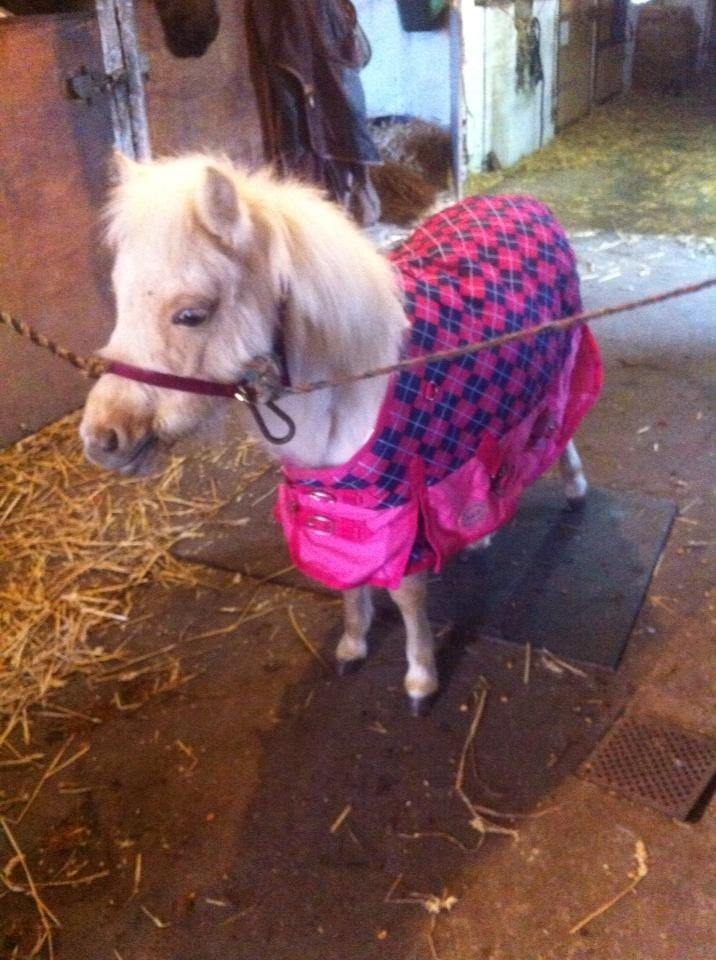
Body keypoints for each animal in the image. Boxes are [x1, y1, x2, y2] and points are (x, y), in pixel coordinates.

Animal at [80, 153, 602, 715]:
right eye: (120, 298)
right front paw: (354, 643)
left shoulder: (398, 507)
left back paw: (574, 489)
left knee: (559, 429)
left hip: (560, 364)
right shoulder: (341, 508)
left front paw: (420, 679)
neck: (351, 387)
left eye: (192, 314)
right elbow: (349, 577)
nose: (103, 438)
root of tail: (523, 201)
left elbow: (407, 594)